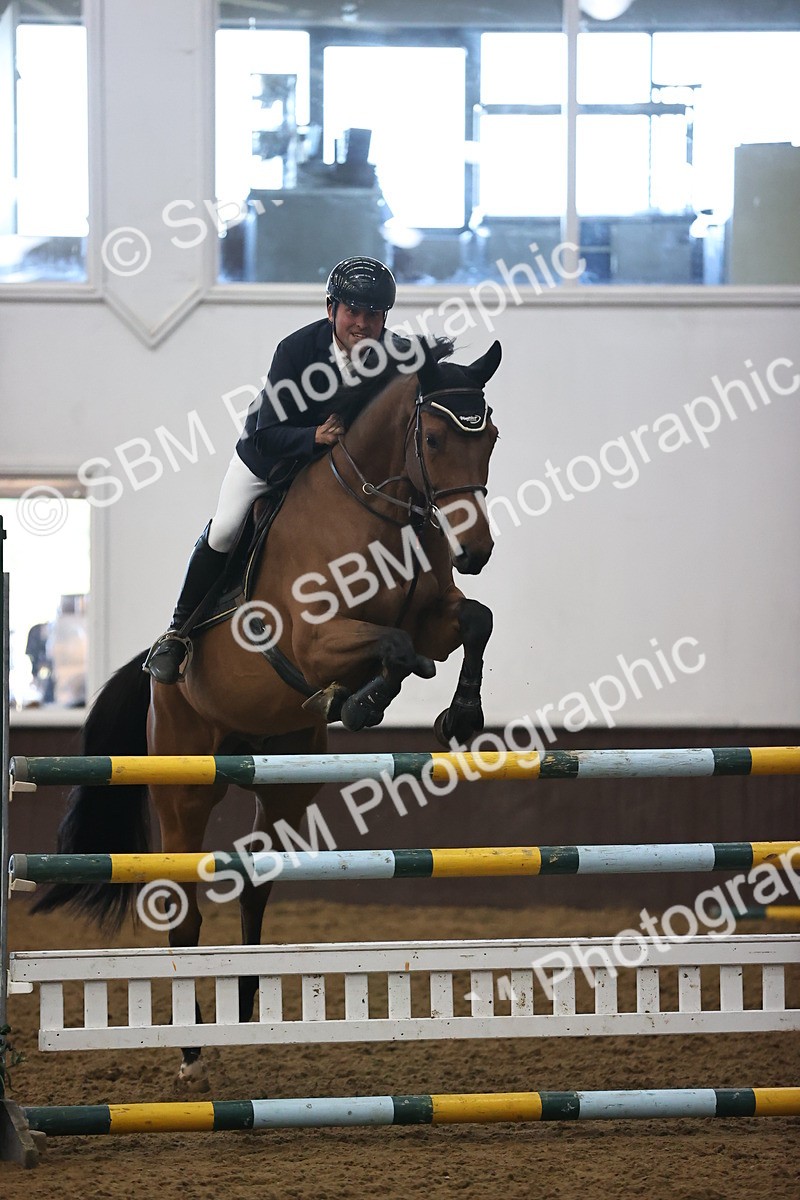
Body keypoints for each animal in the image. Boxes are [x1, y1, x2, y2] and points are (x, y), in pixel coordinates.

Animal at [35, 336, 502, 1087]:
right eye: (432, 438)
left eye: (489, 437)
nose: (478, 550)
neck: (381, 511)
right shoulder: (311, 641)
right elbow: (394, 647)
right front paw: (365, 700)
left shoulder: (435, 617)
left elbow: (470, 623)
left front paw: (456, 715)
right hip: (183, 788)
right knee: (182, 905)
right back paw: (192, 1051)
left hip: (284, 776)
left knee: (255, 884)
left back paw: (246, 1008)